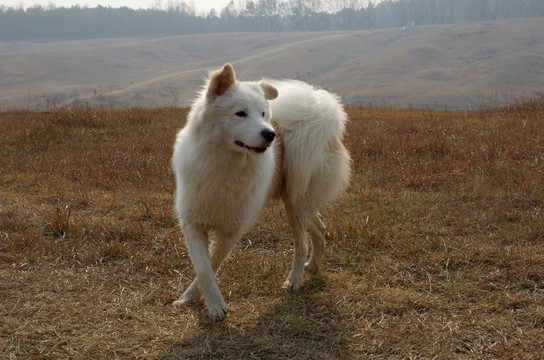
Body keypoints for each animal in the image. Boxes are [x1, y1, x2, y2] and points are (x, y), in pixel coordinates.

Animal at [172, 64, 350, 320]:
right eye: (240, 113)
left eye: (264, 114)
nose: (270, 134)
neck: (226, 165)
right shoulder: (193, 225)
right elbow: (204, 268)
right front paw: (195, 299)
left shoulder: (231, 231)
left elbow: (212, 264)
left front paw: (212, 305)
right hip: (296, 202)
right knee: (319, 228)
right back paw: (313, 265)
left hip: (295, 202)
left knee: (301, 245)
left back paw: (294, 280)